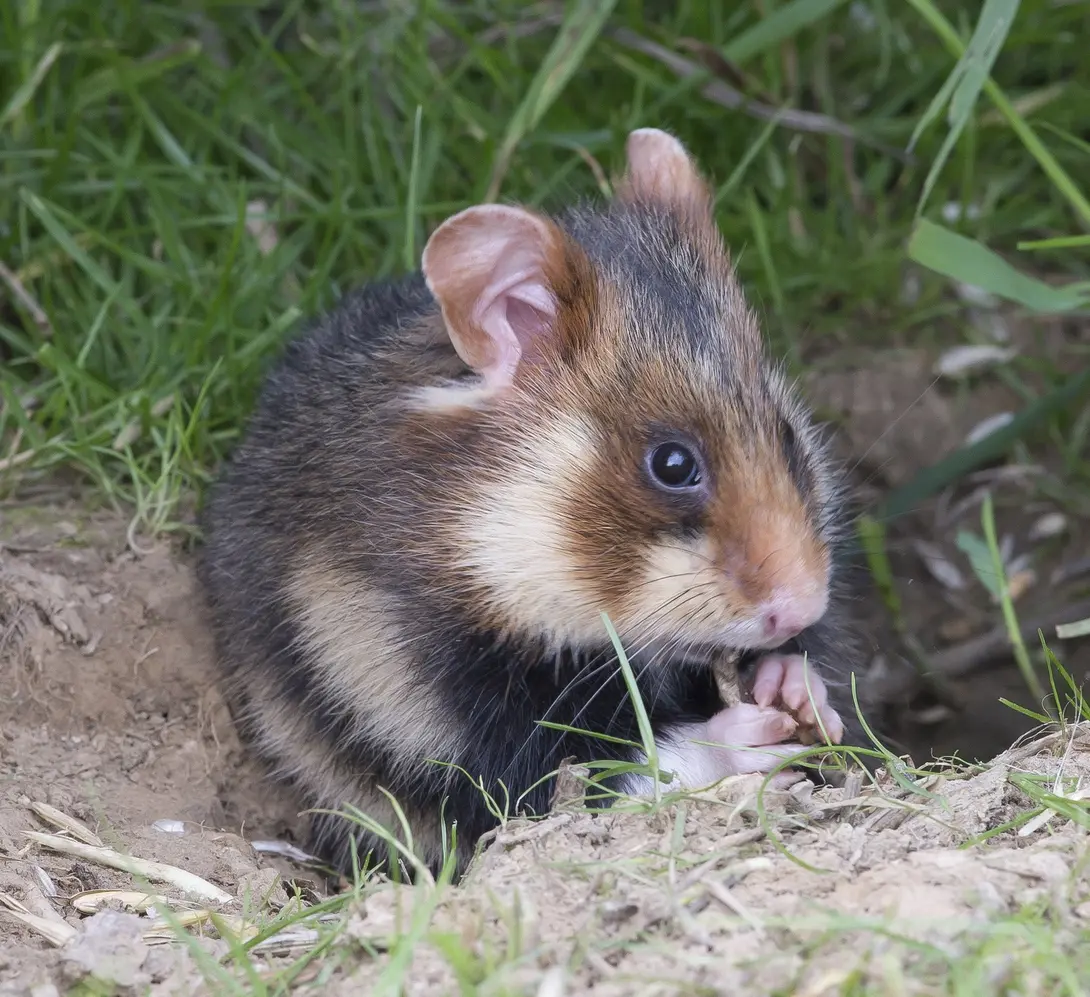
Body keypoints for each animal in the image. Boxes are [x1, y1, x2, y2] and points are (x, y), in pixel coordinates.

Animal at [197, 128, 866, 881]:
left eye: (786, 432)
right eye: (672, 464)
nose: (803, 606)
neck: (491, 543)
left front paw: (796, 690)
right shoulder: (419, 695)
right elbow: (597, 773)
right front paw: (756, 736)